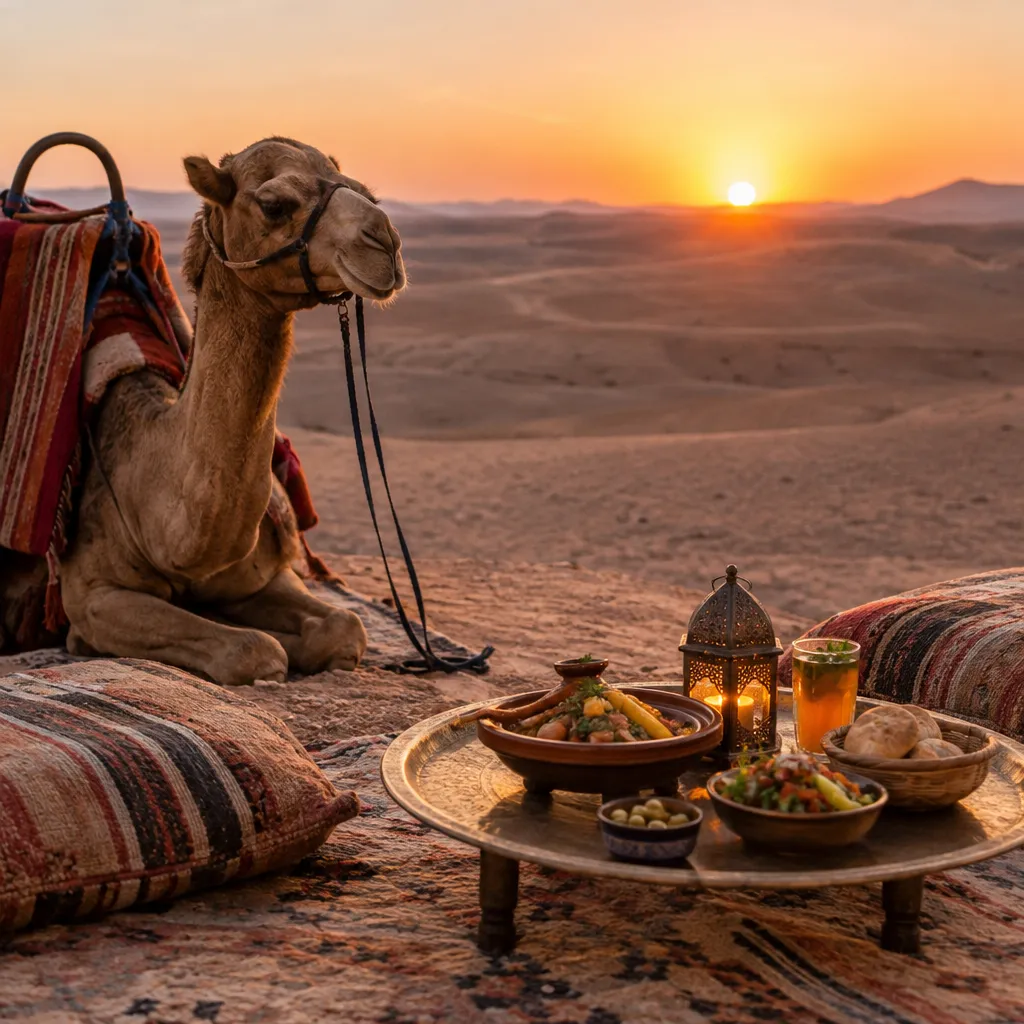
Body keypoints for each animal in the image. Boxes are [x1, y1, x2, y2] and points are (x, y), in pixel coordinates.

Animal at [17, 137, 405, 685]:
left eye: (364, 190)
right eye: (274, 204)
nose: (385, 243)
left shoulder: (261, 577)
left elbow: (343, 628)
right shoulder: (93, 596)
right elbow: (254, 651)